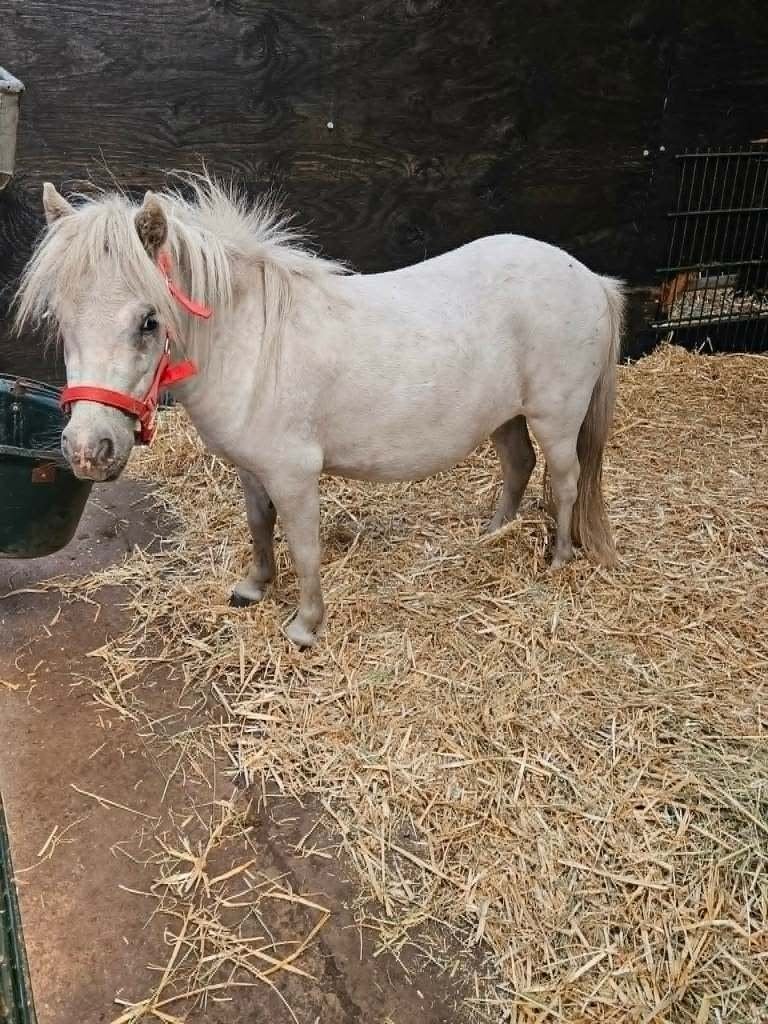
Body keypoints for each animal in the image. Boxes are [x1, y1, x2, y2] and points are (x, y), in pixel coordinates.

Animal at [15, 176, 624, 647]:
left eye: (149, 321)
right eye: (61, 319)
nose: (88, 450)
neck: (251, 344)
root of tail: (590, 277)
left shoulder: (295, 474)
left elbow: (305, 548)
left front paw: (305, 626)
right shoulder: (251, 470)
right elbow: (260, 526)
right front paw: (254, 588)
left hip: (556, 420)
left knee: (565, 482)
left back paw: (559, 559)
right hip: (504, 416)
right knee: (518, 466)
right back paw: (492, 535)